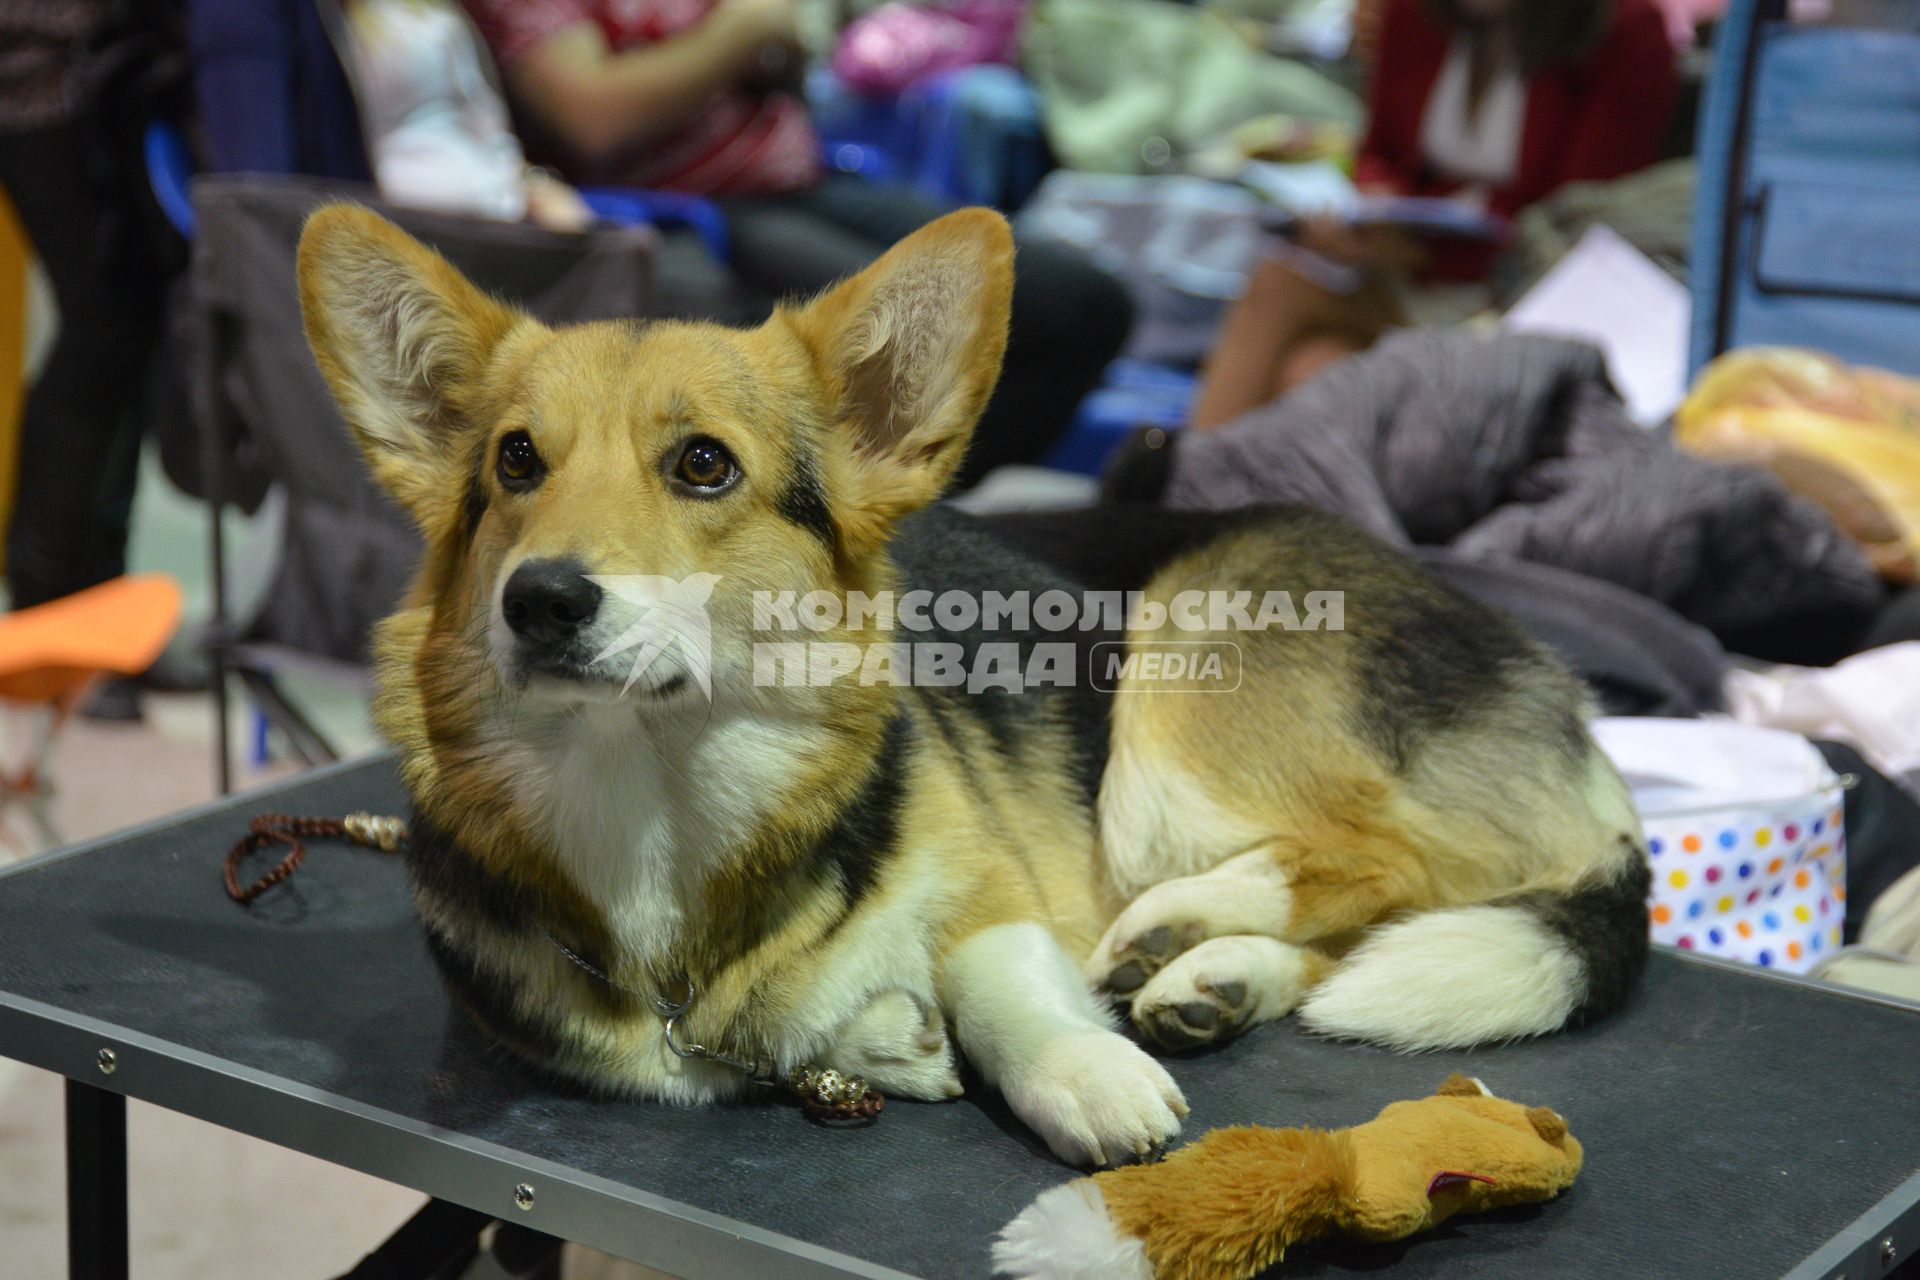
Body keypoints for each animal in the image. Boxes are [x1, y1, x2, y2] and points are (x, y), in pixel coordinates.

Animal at [299, 202, 1651, 1174]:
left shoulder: (991, 879)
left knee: (1385, 860)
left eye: (703, 466)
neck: (655, 791)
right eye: (515, 460)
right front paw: (887, 1037)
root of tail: (1564, 696)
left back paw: (1180, 928)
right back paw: (1208, 980)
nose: (539, 602)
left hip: (1177, 686)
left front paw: (1084, 1072)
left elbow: (1006, 981)